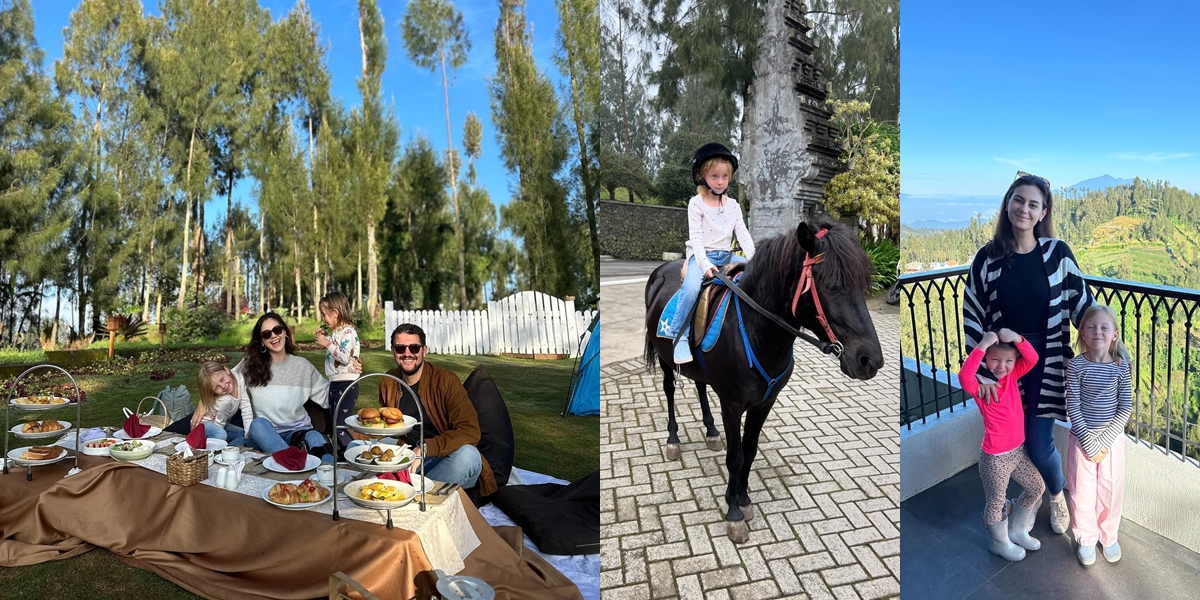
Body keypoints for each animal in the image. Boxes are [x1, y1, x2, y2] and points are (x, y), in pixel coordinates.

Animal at [648, 218, 883, 542]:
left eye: (861, 286)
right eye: (833, 287)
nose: (870, 360)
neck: (754, 329)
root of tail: (660, 272)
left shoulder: (765, 403)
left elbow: (749, 450)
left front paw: (743, 498)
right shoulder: (732, 405)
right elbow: (735, 456)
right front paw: (733, 512)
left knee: (700, 385)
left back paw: (711, 431)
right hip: (665, 360)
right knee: (669, 390)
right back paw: (673, 439)